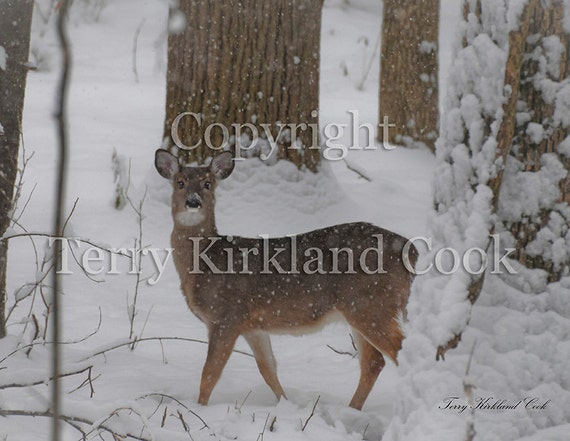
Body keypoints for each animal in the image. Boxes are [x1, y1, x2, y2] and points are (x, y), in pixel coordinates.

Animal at [153, 149, 414, 410]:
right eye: (180, 182)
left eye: (208, 184)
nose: (193, 202)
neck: (206, 263)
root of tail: (410, 251)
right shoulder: (253, 326)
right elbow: (268, 368)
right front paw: (287, 405)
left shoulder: (227, 315)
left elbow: (210, 373)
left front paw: (198, 408)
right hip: (360, 309)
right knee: (374, 361)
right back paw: (352, 410)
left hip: (370, 303)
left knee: (400, 352)